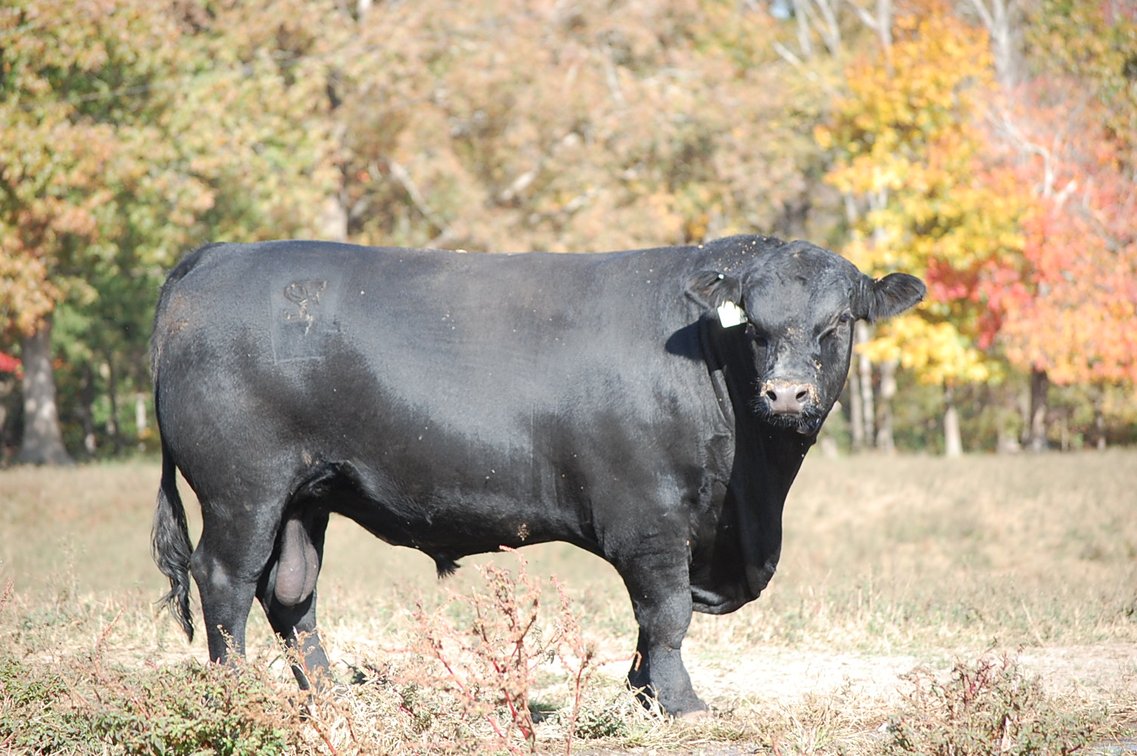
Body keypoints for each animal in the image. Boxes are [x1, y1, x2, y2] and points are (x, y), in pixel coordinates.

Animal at [151, 234, 924, 716]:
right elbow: (665, 612)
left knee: (290, 592)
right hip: (242, 490)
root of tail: (221, 254)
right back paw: (240, 696)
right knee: (225, 580)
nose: (786, 394)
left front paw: (642, 694)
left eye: (837, 323)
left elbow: (648, 623)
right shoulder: (648, 517)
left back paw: (329, 695)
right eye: (755, 328)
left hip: (304, 495)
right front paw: (681, 705)